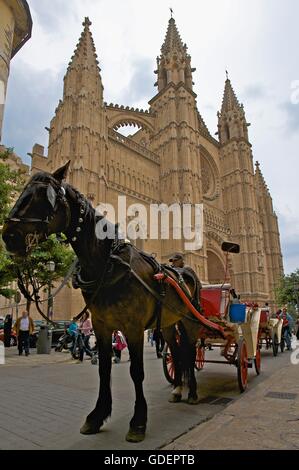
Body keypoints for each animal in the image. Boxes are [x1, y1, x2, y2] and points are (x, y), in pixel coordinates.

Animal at [2, 161, 221, 440]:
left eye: (44, 196)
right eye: (24, 189)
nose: (9, 235)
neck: (108, 263)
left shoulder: (134, 328)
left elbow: (136, 372)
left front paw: (138, 423)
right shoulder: (101, 325)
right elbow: (103, 369)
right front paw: (96, 416)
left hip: (191, 321)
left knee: (190, 352)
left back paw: (192, 392)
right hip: (169, 324)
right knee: (177, 352)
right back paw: (177, 391)